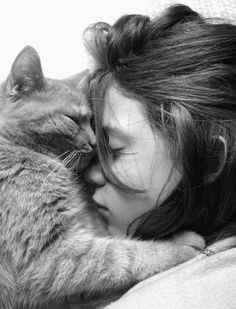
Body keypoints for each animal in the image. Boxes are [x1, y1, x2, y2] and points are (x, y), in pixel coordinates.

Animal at [0, 46, 204, 308]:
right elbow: (131, 254)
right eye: (72, 119)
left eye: (90, 121)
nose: (94, 143)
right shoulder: (49, 256)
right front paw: (180, 244)